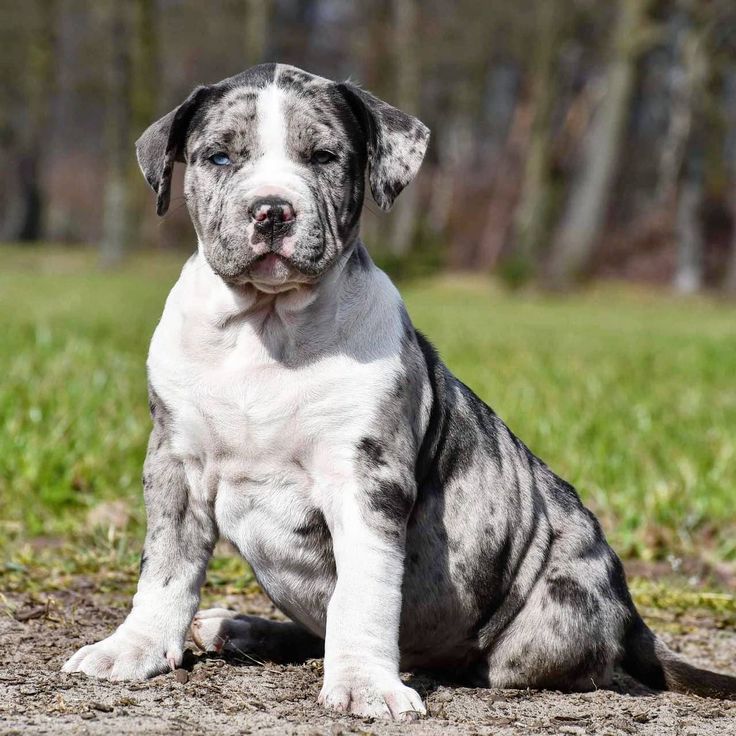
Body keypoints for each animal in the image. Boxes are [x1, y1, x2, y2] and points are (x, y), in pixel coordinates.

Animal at [61, 63, 736, 720]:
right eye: (221, 157)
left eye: (324, 157)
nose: (272, 210)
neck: (267, 327)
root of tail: (630, 614)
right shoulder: (175, 463)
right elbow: (165, 567)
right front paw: (134, 646)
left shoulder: (368, 481)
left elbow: (364, 593)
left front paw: (363, 684)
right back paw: (240, 627)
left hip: (542, 620)